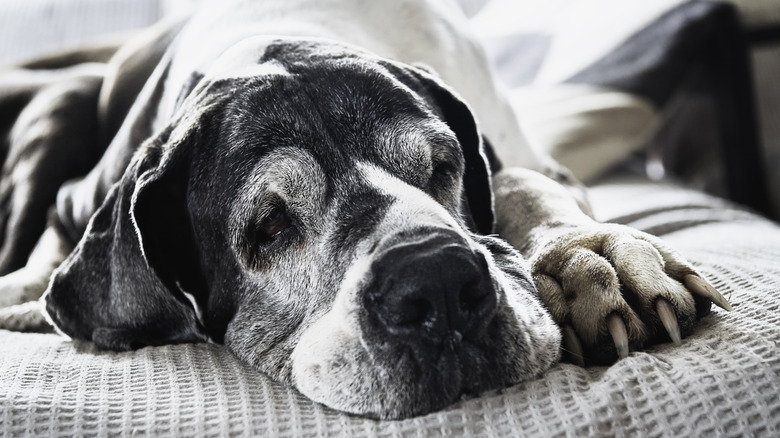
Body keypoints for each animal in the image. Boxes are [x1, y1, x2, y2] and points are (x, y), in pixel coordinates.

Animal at [0, 0, 732, 418]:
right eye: (269, 225)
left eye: (442, 167)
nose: (437, 283)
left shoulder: (529, 160)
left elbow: (525, 183)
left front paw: (591, 257)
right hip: (55, 115)